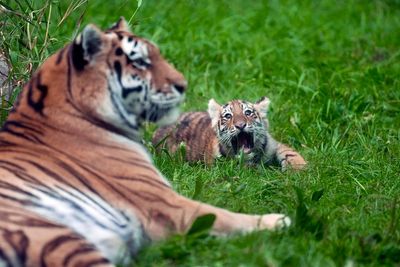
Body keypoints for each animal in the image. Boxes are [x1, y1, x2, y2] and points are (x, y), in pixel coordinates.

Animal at [0, 17, 290, 266]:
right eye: (140, 62)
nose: (184, 85)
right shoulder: (164, 201)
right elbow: (223, 215)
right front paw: (279, 221)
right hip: (59, 241)